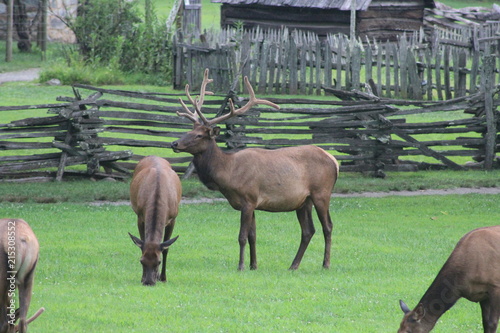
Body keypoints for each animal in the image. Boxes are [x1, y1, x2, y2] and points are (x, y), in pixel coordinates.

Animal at [129, 154, 182, 284]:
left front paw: (163, 277)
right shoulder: (140, 216)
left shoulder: (173, 218)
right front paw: (142, 277)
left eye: (158, 262)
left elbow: (166, 249)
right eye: (141, 261)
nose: (148, 282)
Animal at [172, 68, 340, 272]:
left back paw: (326, 264)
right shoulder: (251, 203)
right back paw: (293, 265)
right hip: (303, 201)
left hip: (322, 192)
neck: (228, 174)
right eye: (188, 130)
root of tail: (334, 161)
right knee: (308, 230)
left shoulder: (248, 199)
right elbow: (253, 236)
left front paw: (241, 266)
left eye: (198, 135)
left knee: (328, 226)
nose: (174, 143)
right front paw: (253, 265)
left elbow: (242, 237)